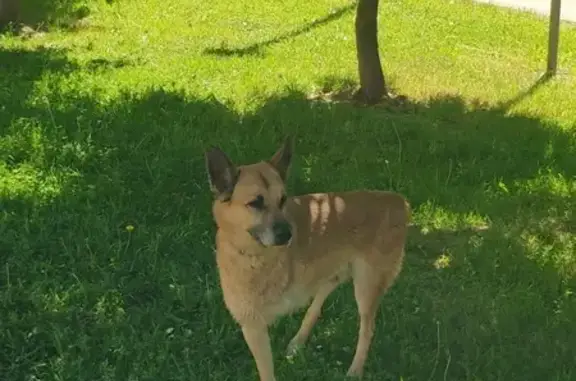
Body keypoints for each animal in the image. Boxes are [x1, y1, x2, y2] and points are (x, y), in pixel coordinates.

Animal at [205, 137, 412, 380]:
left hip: (366, 285)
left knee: (367, 328)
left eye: (282, 200)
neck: (252, 255)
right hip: (334, 271)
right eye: (255, 203)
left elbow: (267, 373)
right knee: (318, 302)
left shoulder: (254, 328)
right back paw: (298, 341)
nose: (288, 234)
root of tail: (397, 200)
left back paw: (355, 369)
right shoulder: (253, 326)